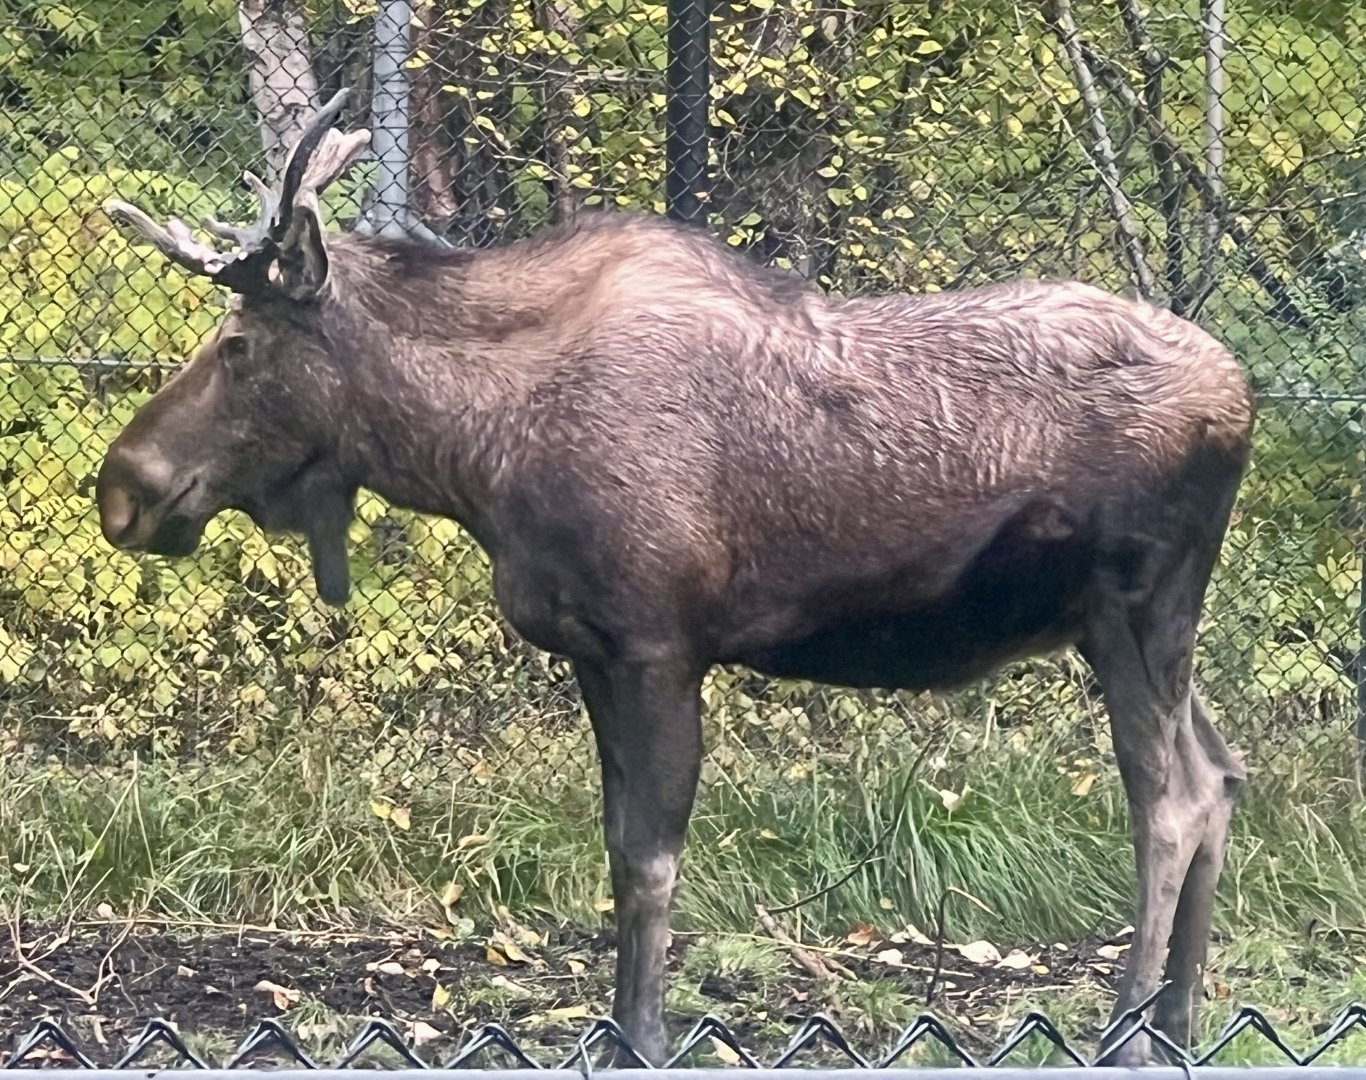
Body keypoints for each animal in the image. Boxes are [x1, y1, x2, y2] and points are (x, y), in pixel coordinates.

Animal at [96, 90, 1254, 1065]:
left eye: (237, 344)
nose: (123, 488)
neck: (476, 453)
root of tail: (1242, 397)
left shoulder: (658, 643)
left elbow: (652, 862)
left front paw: (643, 1039)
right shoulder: (592, 651)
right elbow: (618, 851)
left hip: (1136, 603)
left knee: (1173, 800)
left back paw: (1131, 1033)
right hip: (1138, 624)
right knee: (1225, 771)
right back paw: (1184, 1020)